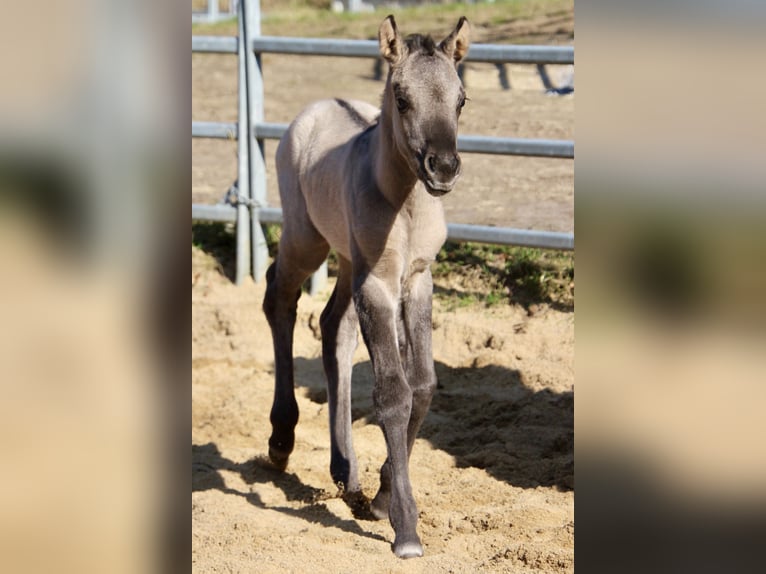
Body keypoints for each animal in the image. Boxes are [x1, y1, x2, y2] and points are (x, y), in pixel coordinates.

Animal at [263, 15, 470, 558]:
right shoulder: (377, 284)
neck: (405, 205)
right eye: (401, 97)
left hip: (346, 257)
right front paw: (405, 528)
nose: (443, 167)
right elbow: (393, 393)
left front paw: (379, 496)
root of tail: (315, 109)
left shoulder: (417, 280)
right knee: (278, 298)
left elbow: (424, 384)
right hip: (306, 239)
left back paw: (346, 472)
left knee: (333, 326)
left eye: (461, 99)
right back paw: (281, 440)